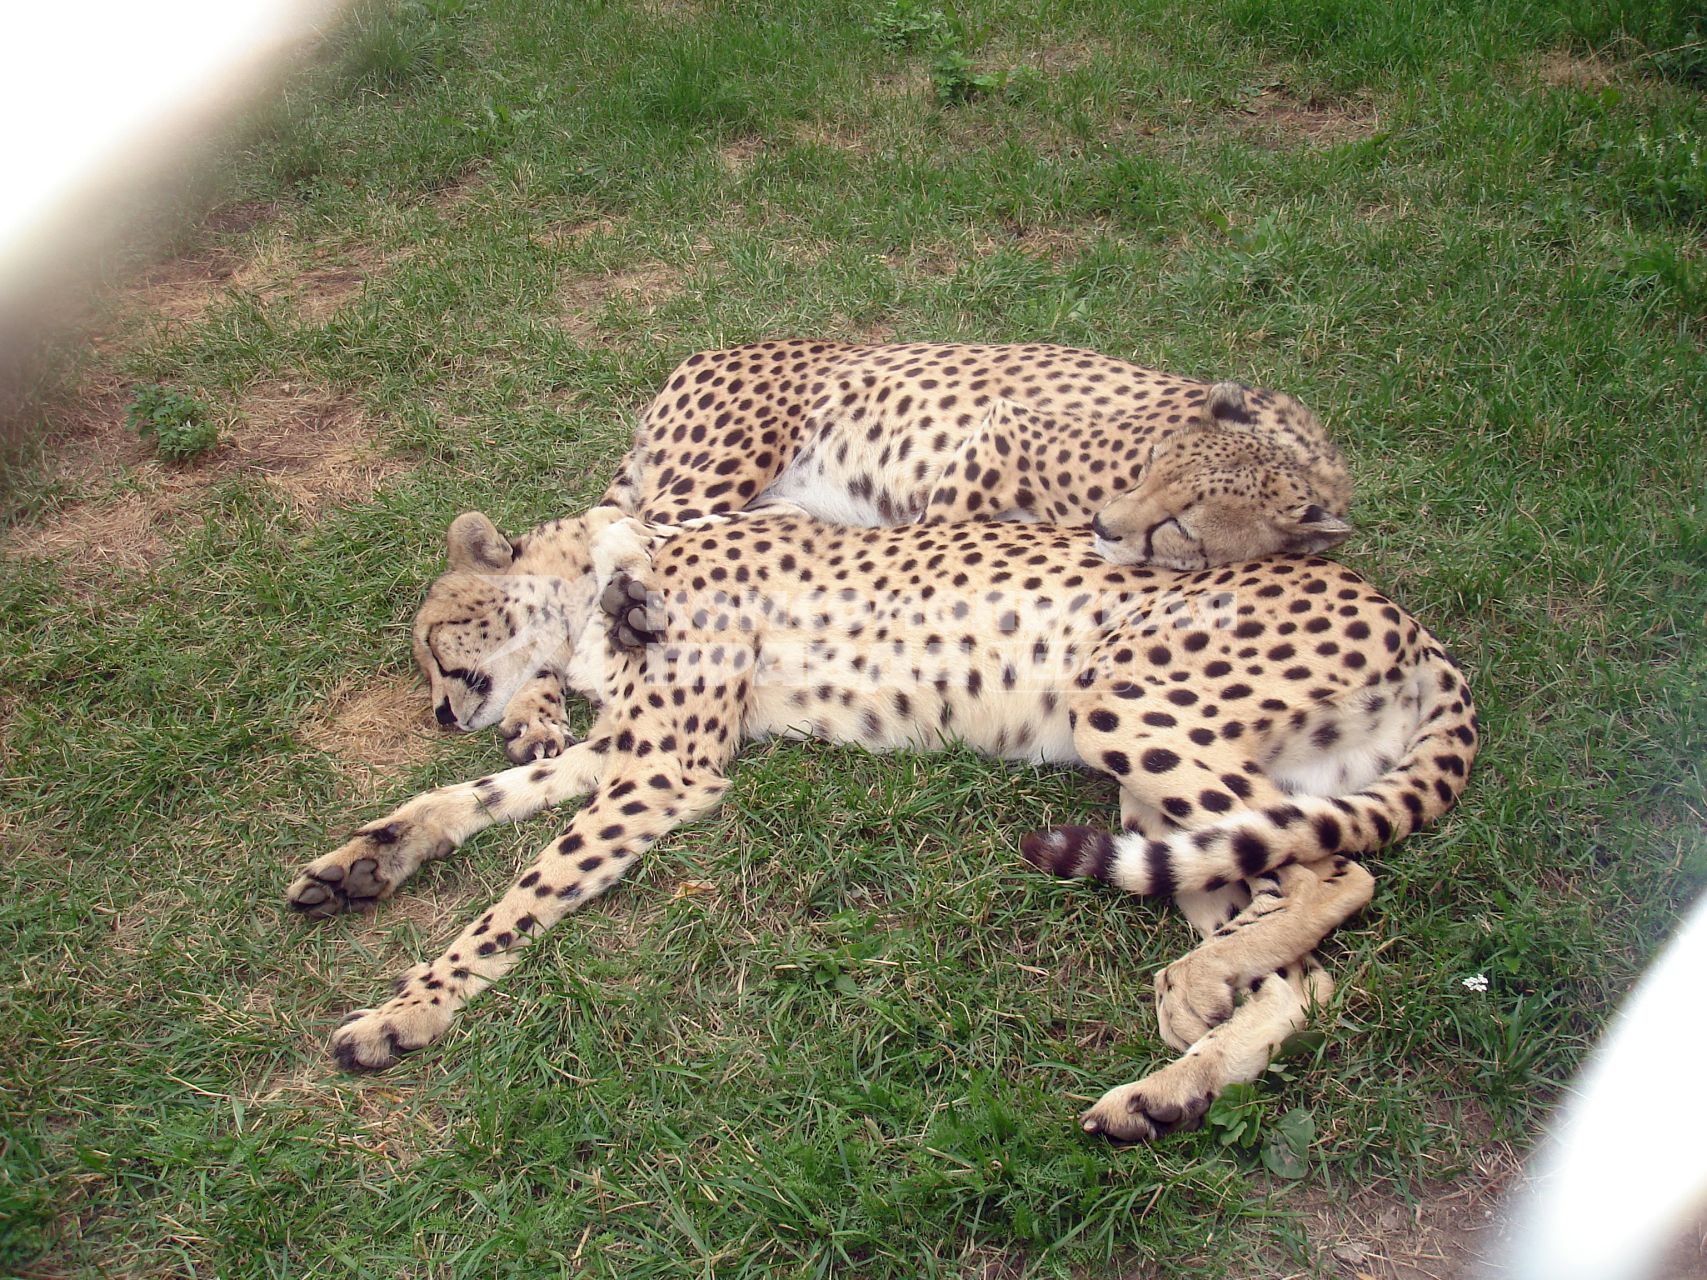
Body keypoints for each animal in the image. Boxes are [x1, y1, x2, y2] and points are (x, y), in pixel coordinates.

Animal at [286, 505, 1474, 1140]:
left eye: (433, 640)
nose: (443, 712)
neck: (605, 584)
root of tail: (1409, 619)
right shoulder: (627, 754)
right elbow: (464, 804)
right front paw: (360, 865)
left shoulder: (667, 770)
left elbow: (516, 898)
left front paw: (405, 1011)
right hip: (1169, 799)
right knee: (1302, 959)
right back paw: (1167, 1090)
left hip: (1125, 706)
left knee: (1341, 878)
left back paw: (1193, 998)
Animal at [447, 337, 1351, 761]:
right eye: (1157, 471)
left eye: (1181, 527)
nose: (1107, 525)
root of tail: (705, 354)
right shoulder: (994, 444)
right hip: (717, 469)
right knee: (609, 536)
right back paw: (539, 697)